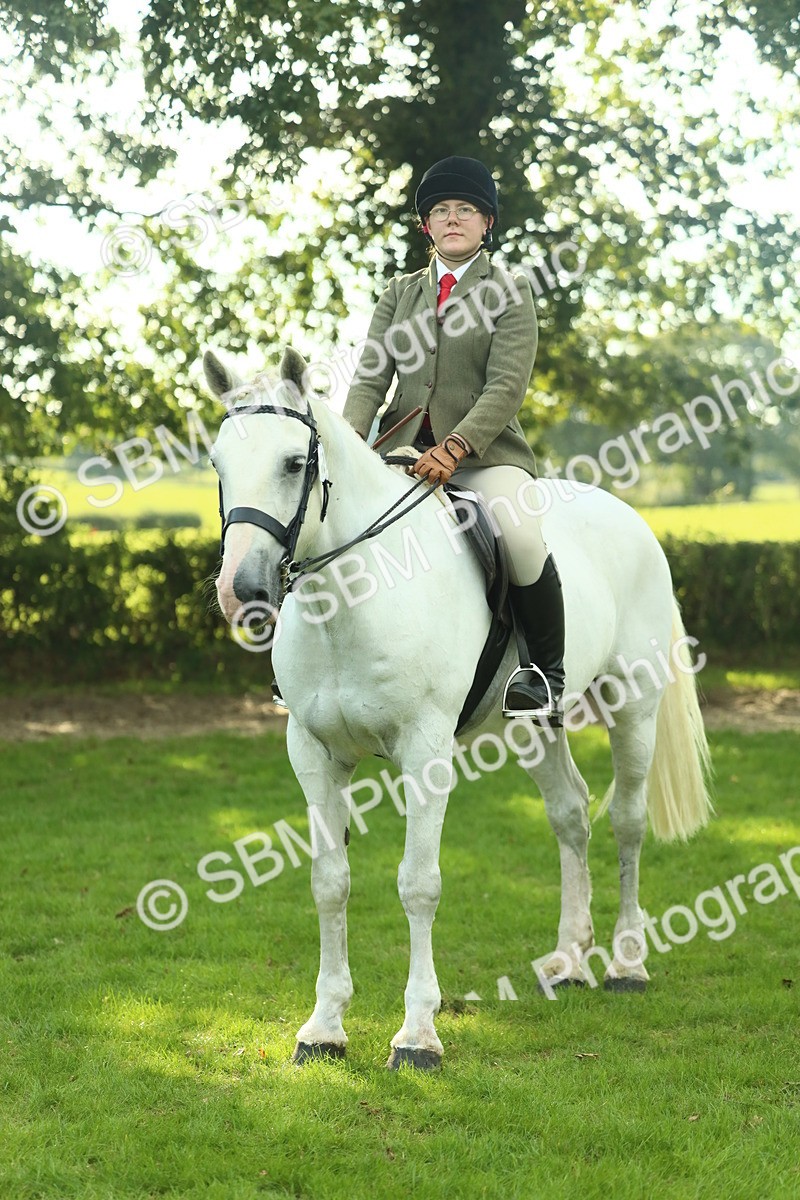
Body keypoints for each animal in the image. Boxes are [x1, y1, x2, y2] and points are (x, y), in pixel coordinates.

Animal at [204, 345, 712, 1071]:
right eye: (218, 464)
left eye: (294, 463)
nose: (241, 592)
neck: (355, 595)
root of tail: (630, 518)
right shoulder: (313, 752)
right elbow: (330, 881)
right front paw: (324, 1027)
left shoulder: (425, 751)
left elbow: (419, 883)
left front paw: (418, 1035)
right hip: (534, 727)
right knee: (571, 814)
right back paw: (568, 961)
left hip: (633, 709)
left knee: (627, 821)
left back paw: (626, 964)